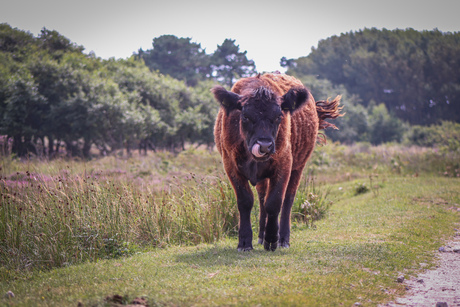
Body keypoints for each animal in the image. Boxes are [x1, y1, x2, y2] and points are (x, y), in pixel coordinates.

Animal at [212, 73, 342, 251]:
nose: (264, 146)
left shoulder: (284, 165)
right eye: (245, 116)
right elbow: (246, 201)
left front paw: (272, 239)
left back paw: (283, 239)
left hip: (298, 168)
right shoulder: (231, 166)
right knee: (261, 198)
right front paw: (245, 242)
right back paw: (261, 236)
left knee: (288, 199)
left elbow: (274, 202)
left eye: (278, 116)